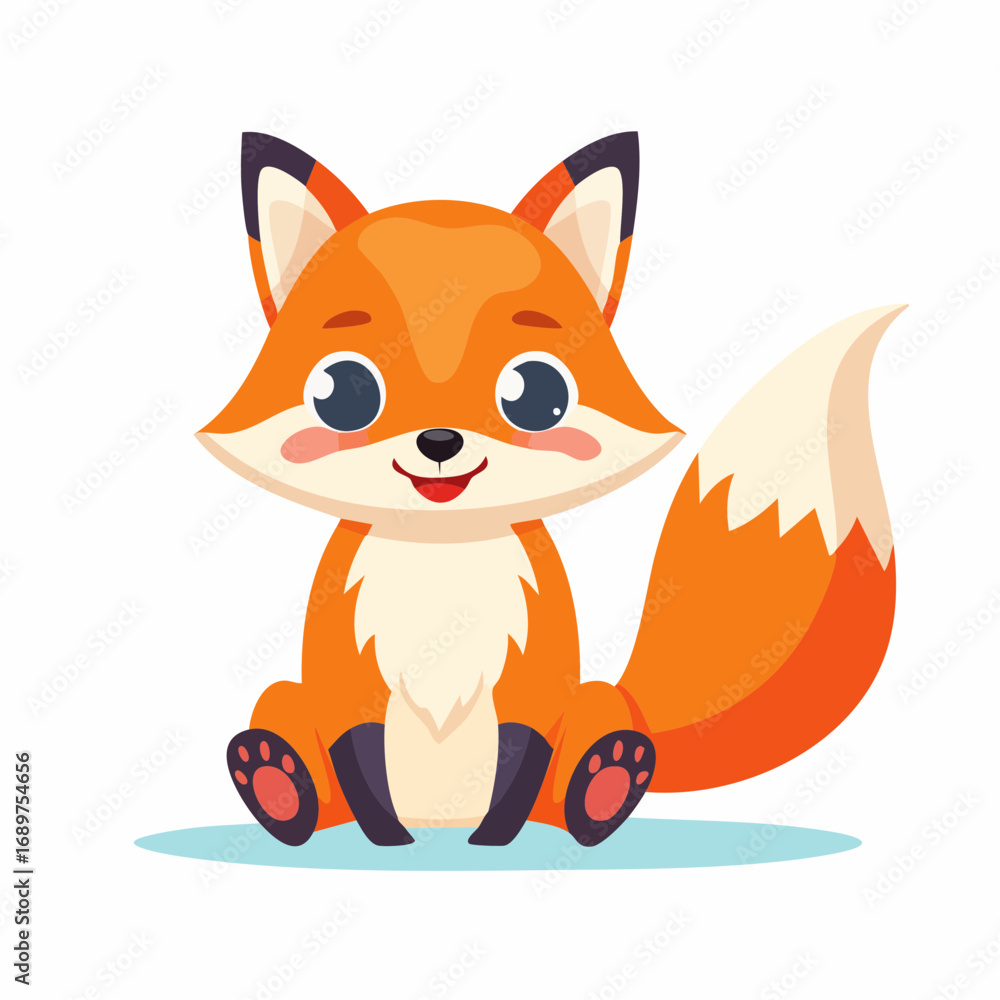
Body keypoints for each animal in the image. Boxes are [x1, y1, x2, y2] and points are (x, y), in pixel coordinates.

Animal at [197, 130, 900, 849]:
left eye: (536, 393)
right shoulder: (347, 678)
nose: (439, 442)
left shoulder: (534, 674)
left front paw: (493, 843)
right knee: (291, 743)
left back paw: (605, 782)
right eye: (343, 392)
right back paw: (276, 781)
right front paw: (389, 842)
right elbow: (359, 761)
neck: (442, 564)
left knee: (583, 772)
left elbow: (522, 755)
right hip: (284, 698)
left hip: (595, 702)